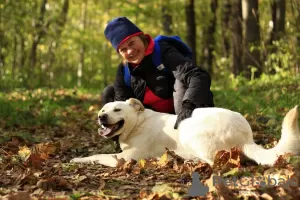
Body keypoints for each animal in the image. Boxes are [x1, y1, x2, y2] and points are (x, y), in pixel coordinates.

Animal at [71, 98, 298, 167]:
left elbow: (98, 155)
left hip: (192, 132)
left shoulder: (125, 158)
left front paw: (77, 160)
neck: (137, 123)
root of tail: (246, 137)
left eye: (117, 110)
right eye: (103, 110)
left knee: (214, 161)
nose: (101, 117)